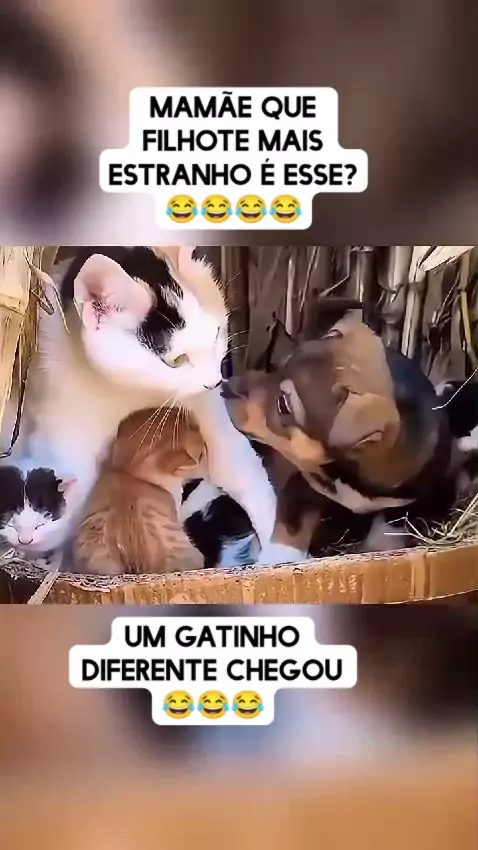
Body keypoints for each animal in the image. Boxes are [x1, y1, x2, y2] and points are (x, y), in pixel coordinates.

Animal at [3, 246, 276, 556]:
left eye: (217, 333)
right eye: (176, 360)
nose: (215, 381)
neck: (135, 393)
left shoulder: (210, 420)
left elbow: (247, 475)